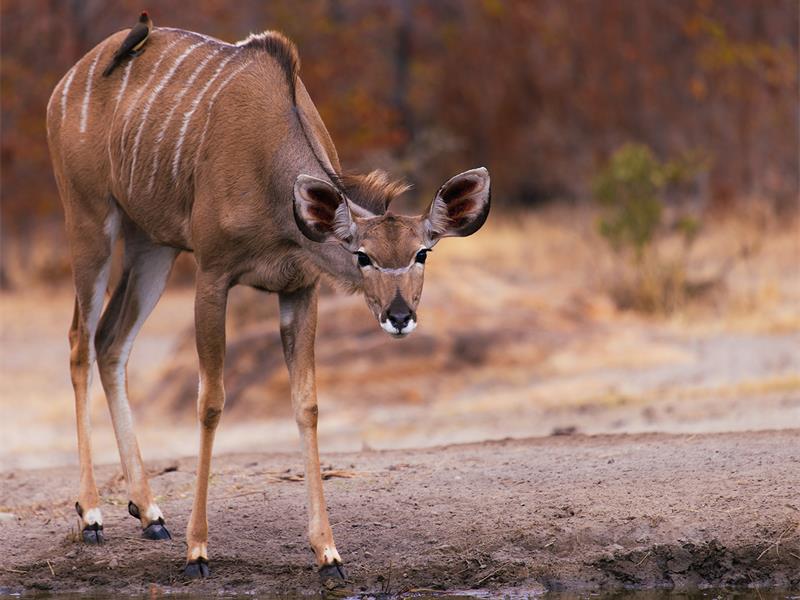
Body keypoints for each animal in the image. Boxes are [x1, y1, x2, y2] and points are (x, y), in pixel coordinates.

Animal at [46, 22, 490, 580]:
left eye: (423, 253)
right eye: (363, 256)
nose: (400, 317)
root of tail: (65, 85)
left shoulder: (299, 289)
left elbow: (307, 404)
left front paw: (328, 554)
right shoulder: (213, 274)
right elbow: (211, 401)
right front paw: (197, 551)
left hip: (153, 244)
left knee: (111, 342)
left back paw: (150, 513)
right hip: (90, 220)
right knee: (79, 342)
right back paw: (91, 516)